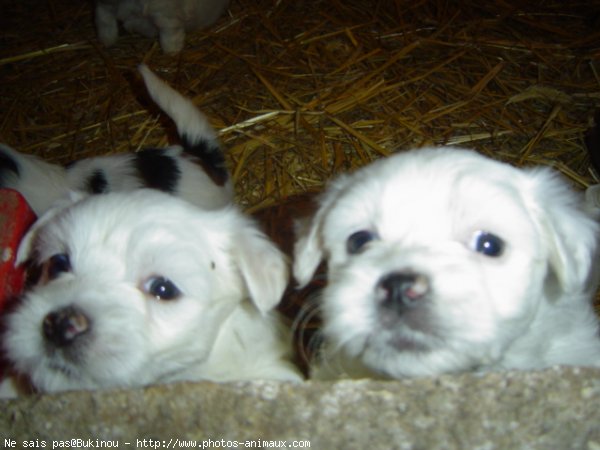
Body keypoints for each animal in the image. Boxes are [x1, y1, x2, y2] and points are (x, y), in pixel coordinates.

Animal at [96, 0, 230, 53]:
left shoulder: (165, 12)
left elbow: (170, 35)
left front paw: (172, 52)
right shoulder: (104, 5)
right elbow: (104, 20)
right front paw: (107, 42)